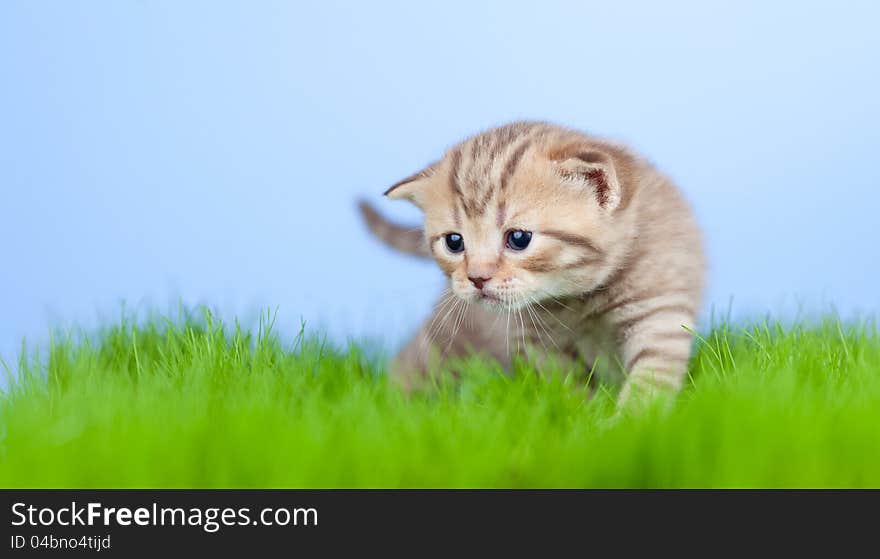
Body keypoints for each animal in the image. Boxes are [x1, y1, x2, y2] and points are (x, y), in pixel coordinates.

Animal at [360, 121, 708, 406]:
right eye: (454, 242)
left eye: (519, 238)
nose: (477, 278)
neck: (580, 299)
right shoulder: (537, 345)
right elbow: (571, 392)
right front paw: (585, 420)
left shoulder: (659, 311)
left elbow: (650, 380)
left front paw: (628, 424)